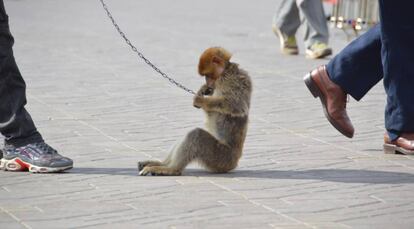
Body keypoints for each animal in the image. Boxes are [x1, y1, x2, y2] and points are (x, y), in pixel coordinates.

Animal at [137, 46, 251, 175]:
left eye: (208, 75)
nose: (208, 82)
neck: (225, 71)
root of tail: (235, 162)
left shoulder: (232, 80)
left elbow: (236, 106)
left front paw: (200, 100)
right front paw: (203, 90)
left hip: (221, 158)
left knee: (196, 135)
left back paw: (172, 169)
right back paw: (161, 164)